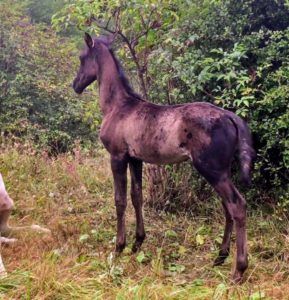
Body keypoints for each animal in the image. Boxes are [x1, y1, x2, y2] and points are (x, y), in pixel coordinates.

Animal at [72, 33, 254, 284]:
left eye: (82, 58)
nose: (75, 85)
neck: (118, 106)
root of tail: (229, 115)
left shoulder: (117, 156)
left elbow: (120, 200)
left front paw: (119, 248)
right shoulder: (135, 159)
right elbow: (137, 196)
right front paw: (137, 243)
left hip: (211, 169)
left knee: (237, 205)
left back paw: (238, 270)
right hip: (221, 171)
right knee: (227, 205)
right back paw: (220, 257)